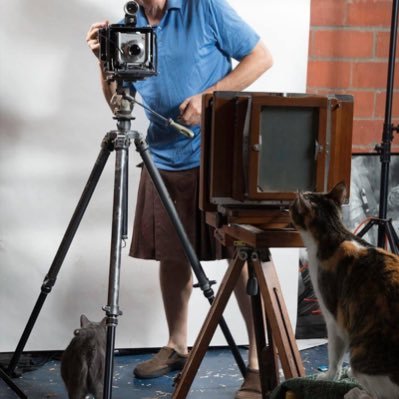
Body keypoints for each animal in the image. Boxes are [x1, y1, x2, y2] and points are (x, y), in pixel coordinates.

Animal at [290, 182, 399, 399]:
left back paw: (358, 391)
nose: (285, 207)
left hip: (361, 354)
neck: (335, 233)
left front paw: (330, 376)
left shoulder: (334, 318)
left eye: (292, 207)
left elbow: (334, 356)